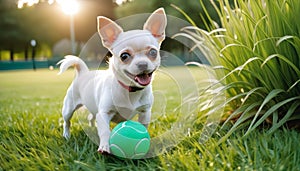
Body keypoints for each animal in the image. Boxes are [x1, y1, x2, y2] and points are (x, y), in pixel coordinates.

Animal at [57, 8, 168, 154]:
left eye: (153, 52)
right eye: (124, 56)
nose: (142, 64)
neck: (130, 90)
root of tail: (83, 72)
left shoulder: (145, 113)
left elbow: (143, 128)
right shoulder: (104, 113)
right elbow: (105, 131)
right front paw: (105, 146)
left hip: (93, 108)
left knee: (91, 117)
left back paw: (92, 128)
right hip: (69, 108)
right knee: (67, 122)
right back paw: (66, 135)